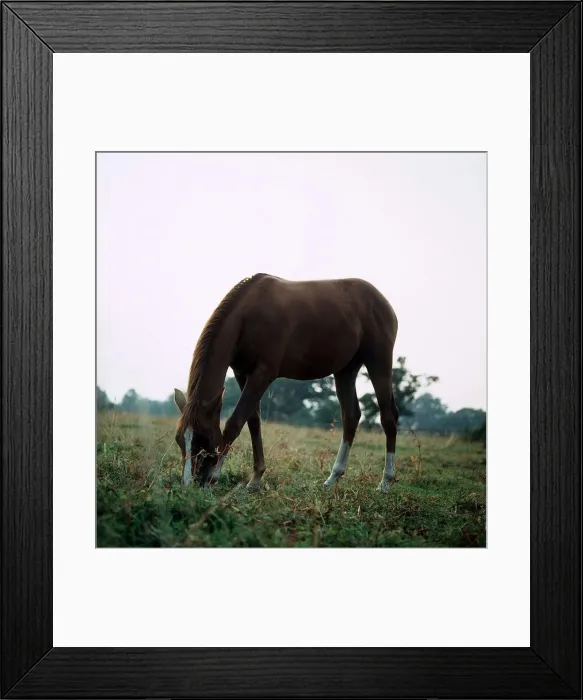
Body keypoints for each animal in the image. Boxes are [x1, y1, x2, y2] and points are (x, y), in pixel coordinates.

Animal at [173, 273, 399, 492]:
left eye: (204, 438)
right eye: (179, 439)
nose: (189, 484)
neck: (247, 317)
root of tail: (383, 302)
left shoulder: (263, 373)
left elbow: (235, 422)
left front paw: (213, 478)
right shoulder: (242, 373)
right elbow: (253, 420)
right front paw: (255, 479)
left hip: (378, 362)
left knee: (388, 417)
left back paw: (385, 483)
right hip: (346, 370)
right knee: (351, 417)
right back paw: (332, 478)